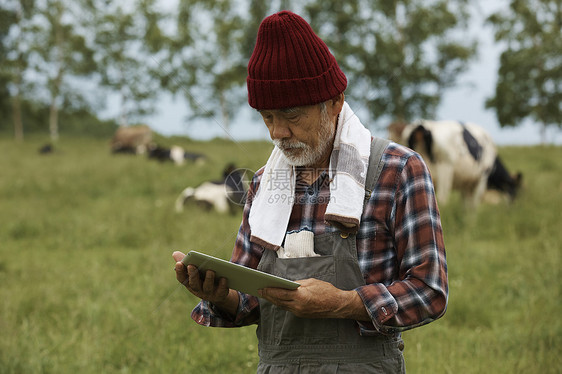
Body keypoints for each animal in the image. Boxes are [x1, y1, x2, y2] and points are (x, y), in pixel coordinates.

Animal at [388, 120, 520, 207]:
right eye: (513, 189)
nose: (512, 207)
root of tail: (422, 126)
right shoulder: (482, 179)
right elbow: (473, 205)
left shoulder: (466, 185)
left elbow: (466, 205)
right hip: (445, 168)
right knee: (442, 198)